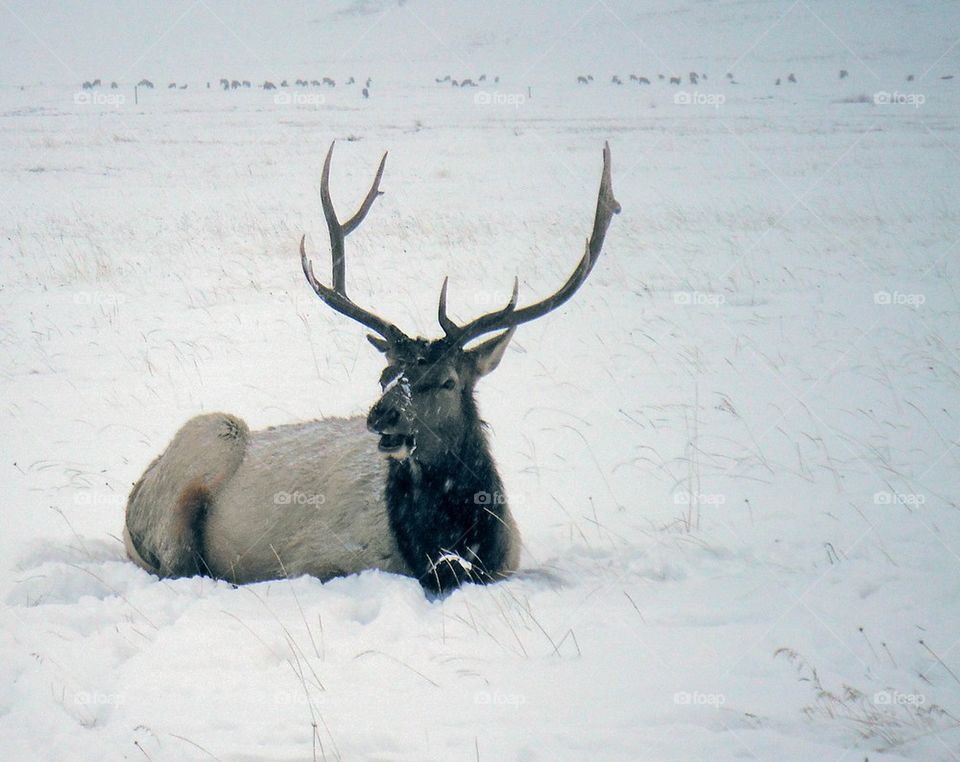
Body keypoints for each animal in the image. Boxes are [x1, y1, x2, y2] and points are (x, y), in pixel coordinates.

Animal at [123, 142, 620, 594]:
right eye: (385, 376)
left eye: (447, 381)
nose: (383, 415)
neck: (445, 547)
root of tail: (136, 493)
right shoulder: (315, 557)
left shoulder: (508, 562)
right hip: (207, 440)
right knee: (181, 562)